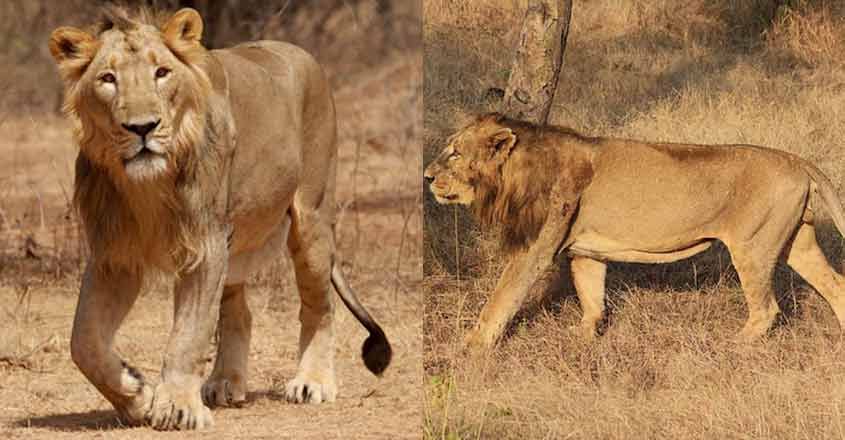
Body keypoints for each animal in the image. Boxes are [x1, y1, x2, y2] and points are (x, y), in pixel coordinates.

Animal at [48, 6, 391, 431]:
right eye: (107, 79)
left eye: (162, 72)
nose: (142, 128)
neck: (147, 185)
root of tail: (299, 53)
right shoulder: (114, 255)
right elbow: (84, 341)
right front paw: (136, 395)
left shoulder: (205, 244)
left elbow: (187, 335)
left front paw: (178, 407)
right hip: (236, 242)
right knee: (238, 312)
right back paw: (225, 382)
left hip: (311, 219)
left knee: (319, 306)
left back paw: (312, 383)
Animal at [425, 113, 845, 351]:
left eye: (455, 152)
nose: (427, 177)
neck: (512, 176)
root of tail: (797, 160)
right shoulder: (586, 251)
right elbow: (591, 297)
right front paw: (584, 338)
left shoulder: (534, 250)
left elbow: (501, 299)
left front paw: (472, 347)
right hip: (797, 242)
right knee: (836, 285)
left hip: (752, 247)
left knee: (766, 309)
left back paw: (736, 345)